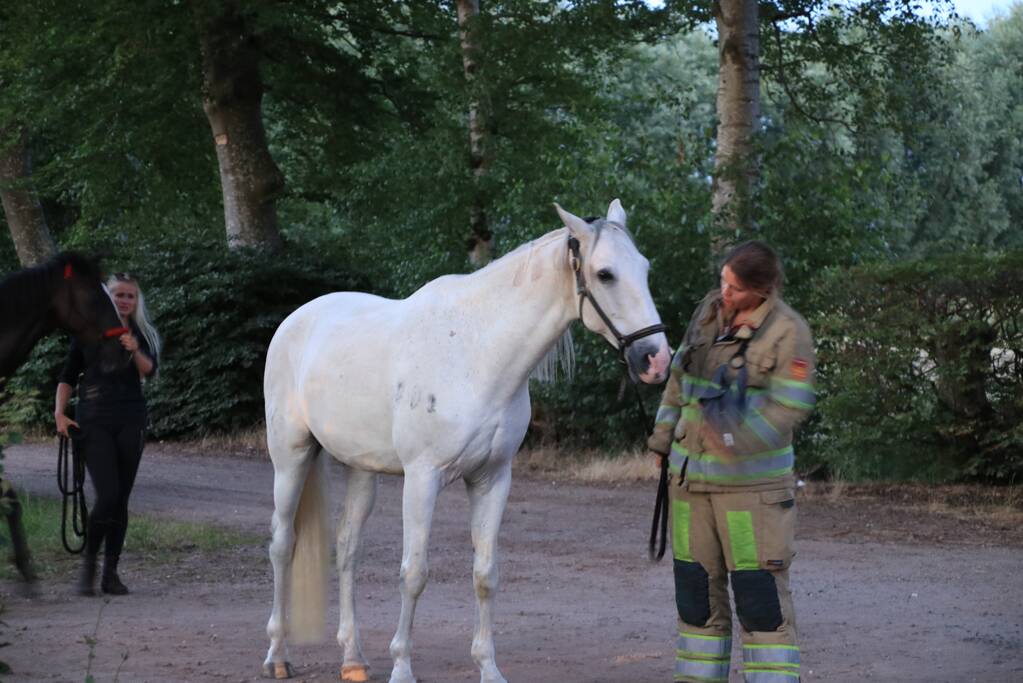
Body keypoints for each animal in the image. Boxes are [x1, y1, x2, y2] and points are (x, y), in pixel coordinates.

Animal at [262, 199, 671, 683]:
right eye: (605, 274)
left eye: (645, 268)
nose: (656, 360)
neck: (477, 353)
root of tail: (297, 319)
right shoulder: (422, 478)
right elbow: (414, 573)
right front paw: (402, 667)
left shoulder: (492, 479)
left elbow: (485, 574)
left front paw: (488, 667)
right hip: (291, 457)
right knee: (282, 544)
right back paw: (277, 655)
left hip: (362, 468)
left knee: (347, 549)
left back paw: (354, 659)